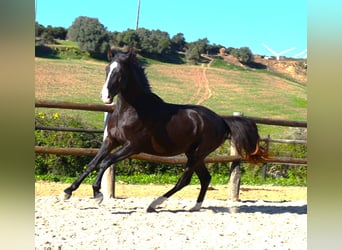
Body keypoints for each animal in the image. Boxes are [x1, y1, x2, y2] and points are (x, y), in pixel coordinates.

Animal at [64, 49, 268, 212]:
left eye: (119, 72)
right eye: (107, 69)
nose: (105, 96)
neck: (132, 110)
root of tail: (221, 120)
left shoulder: (132, 147)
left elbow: (105, 162)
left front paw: (97, 194)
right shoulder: (111, 141)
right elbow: (92, 163)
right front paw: (68, 191)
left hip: (197, 154)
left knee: (185, 180)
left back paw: (154, 204)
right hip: (194, 154)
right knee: (205, 178)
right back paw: (195, 207)